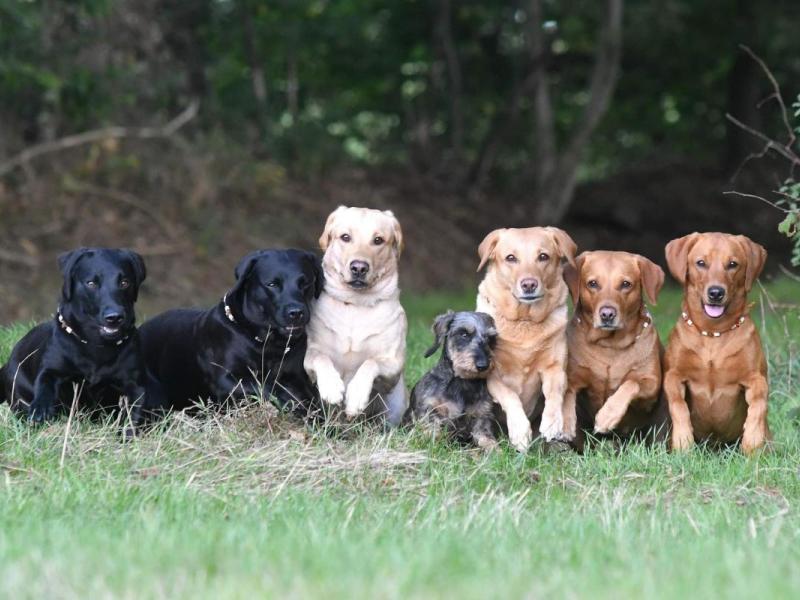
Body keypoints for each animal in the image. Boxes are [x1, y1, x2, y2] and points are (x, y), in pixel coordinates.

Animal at [410, 312, 496, 448]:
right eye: (464, 334)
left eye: (491, 338)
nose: (483, 365)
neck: (462, 382)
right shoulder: (430, 409)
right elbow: (431, 429)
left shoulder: (482, 415)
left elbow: (486, 438)